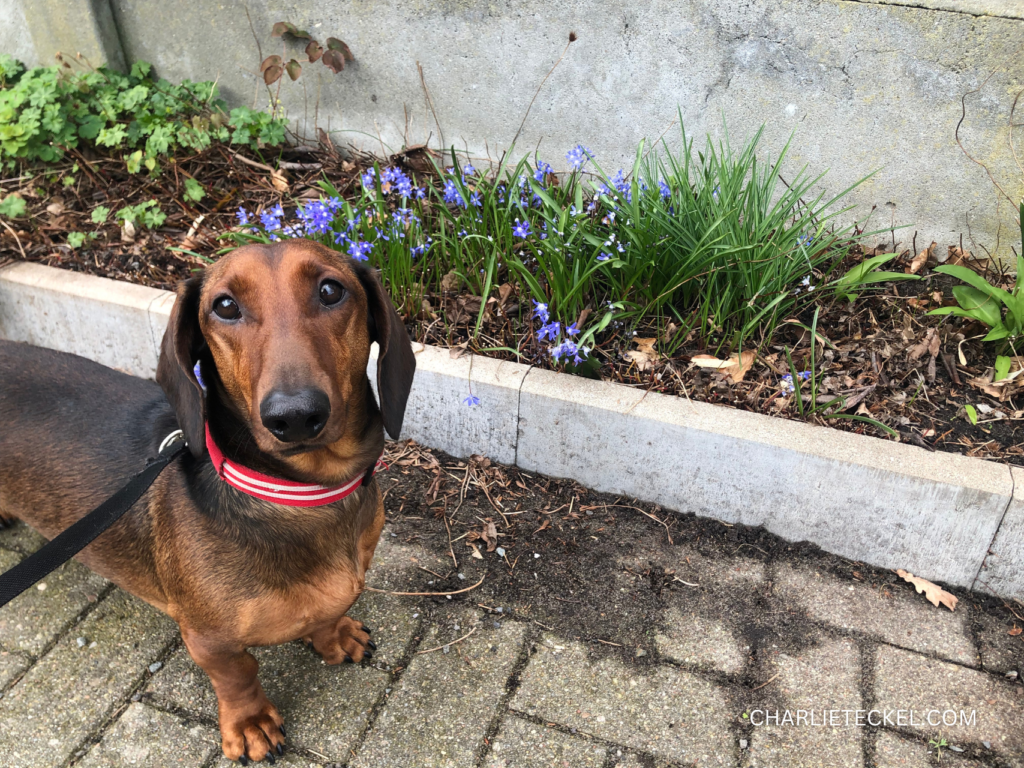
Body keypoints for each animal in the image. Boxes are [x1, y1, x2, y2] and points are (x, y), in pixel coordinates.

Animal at [1, 240, 415, 765]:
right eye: (225, 306)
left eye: (330, 290)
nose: (295, 416)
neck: (301, 493)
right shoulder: (208, 641)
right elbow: (239, 675)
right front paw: (251, 724)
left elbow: (327, 615)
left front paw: (336, 636)